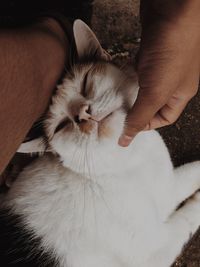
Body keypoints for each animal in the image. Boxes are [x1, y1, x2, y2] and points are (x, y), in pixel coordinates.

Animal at [0, 19, 200, 267]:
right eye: (61, 126)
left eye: (85, 84)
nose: (82, 115)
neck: (130, 160)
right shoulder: (153, 251)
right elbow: (187, 220)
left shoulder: (166, 189)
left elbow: (190, 173)